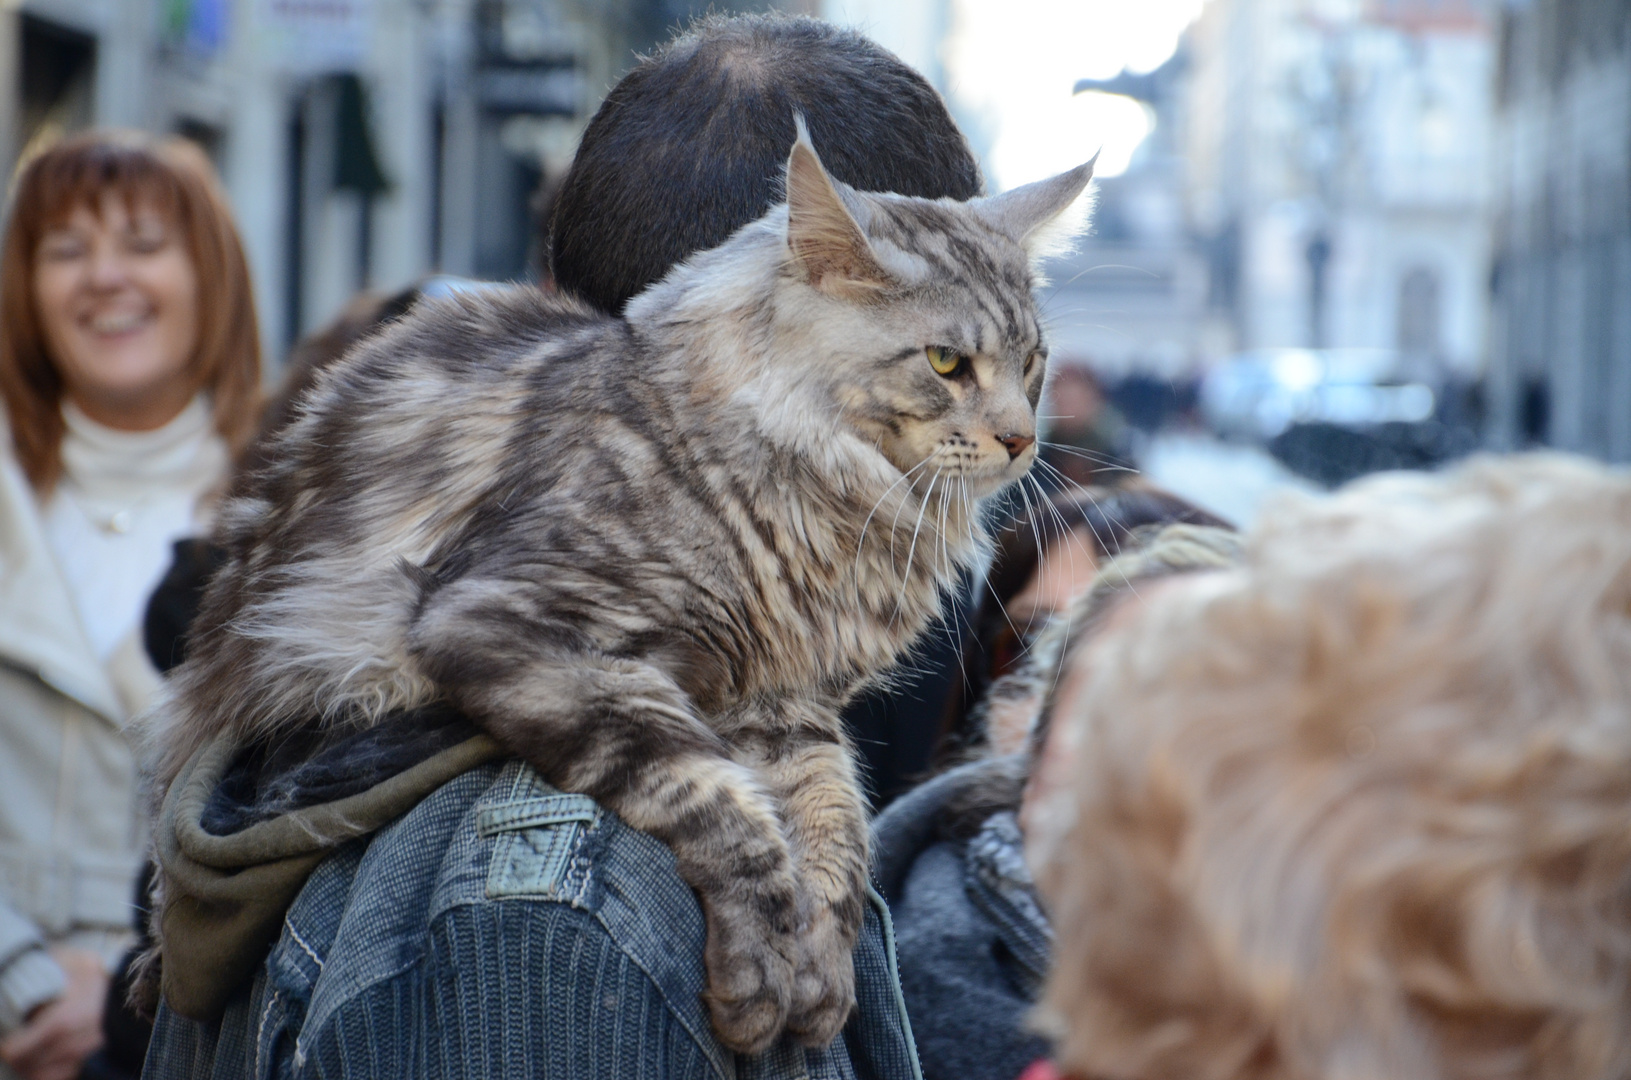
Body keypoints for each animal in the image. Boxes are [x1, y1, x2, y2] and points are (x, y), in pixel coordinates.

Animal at [150, 128, 1096, 1057]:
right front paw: (760, 976)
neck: (820, 494)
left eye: (1033, 364)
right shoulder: (518, 626)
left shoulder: (787, 704)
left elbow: (836, 830)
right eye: (946, 363)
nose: (1022, 440)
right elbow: (718, 800)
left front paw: (821, 972)